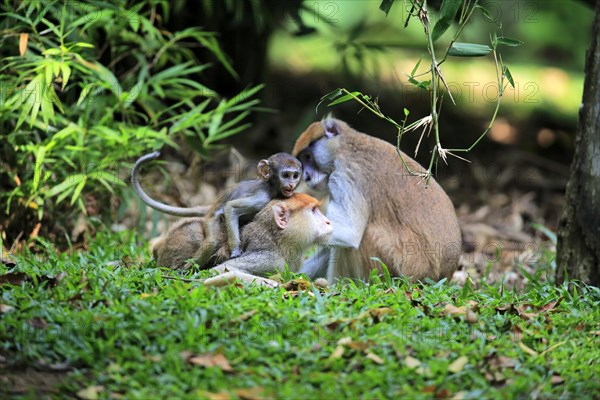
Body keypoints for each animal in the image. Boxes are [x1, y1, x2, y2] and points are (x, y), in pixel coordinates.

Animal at [292, 116, 462, 284]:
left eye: (308, 157)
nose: (307, 177)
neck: (346, 146)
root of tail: (444, 275)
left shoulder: (346, 174)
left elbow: (349, 233)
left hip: (403, 266)